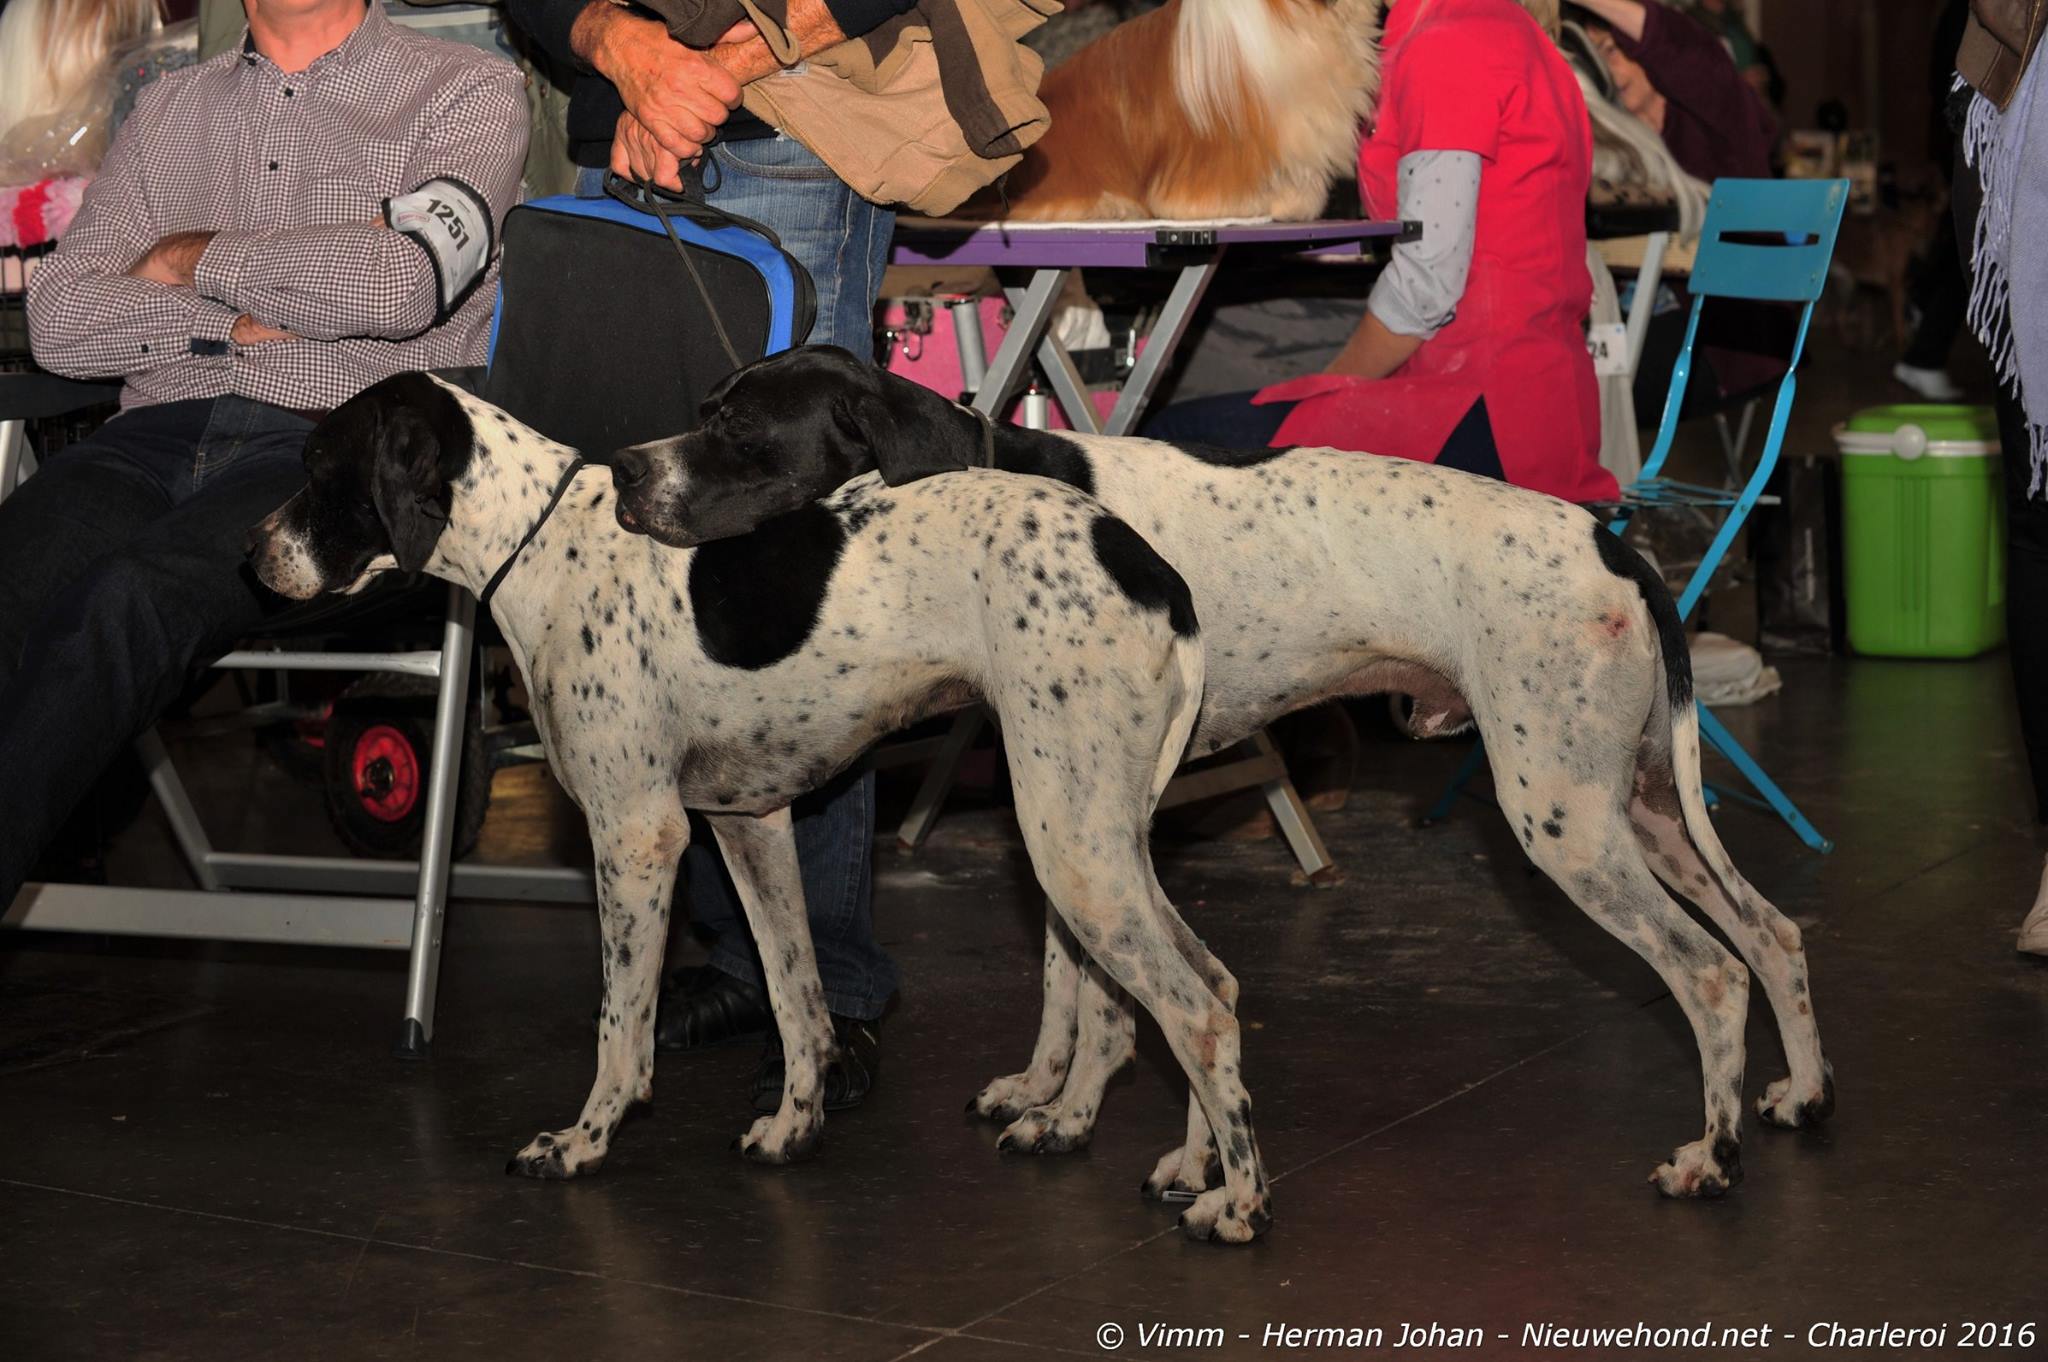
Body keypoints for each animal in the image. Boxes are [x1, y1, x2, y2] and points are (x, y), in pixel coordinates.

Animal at [610, 342, 1843, 1204]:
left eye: (735, 429)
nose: (624, 467)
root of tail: (1608, 538)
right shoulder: (1074, 810)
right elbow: (1070, 976)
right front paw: (1047, 1095)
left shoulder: (1084, 811)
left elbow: (1108, 992)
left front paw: (1078, 1119)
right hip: (1640, 803)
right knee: (1773, 935)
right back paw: (1801, 1094)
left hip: (1566, 822)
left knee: (1710, 972)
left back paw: (1709, 1157)